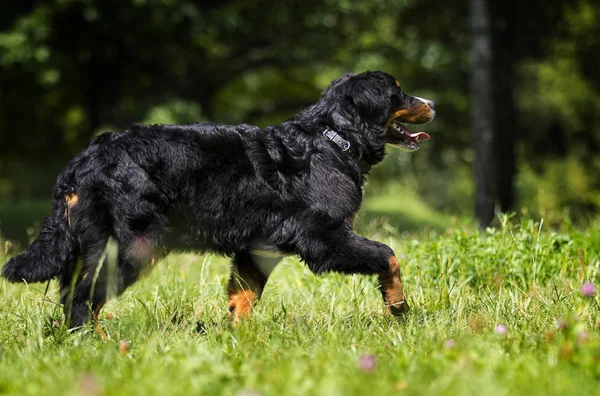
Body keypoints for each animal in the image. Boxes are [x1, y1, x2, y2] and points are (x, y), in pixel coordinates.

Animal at [1, 71, 436, 328]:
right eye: (398, 92)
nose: (433, 103)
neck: (332, 141)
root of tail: (83, 161)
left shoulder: (257, 249)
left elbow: (243, 297)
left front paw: (239, 340)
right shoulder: (324, 238)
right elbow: (388, 255)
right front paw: (398, 307)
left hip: (84, 248)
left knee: (69, 298)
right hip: (130, 246)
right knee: (83, 301)